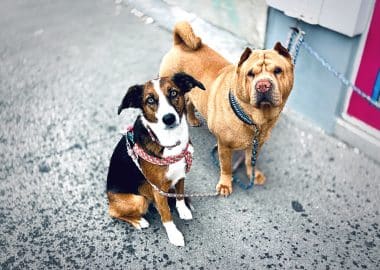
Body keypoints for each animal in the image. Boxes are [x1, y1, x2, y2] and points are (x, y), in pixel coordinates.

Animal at [159, 20, 296, 194]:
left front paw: (253, 174)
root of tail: (180, 44)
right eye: (250, 74)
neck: (253, 119)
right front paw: (225, 184)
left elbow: (250, 161)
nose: (263, 85)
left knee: (190, 103)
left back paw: (193, 119)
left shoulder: (257, 144)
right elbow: (226, 166)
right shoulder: (224, 146)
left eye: (278, 71)